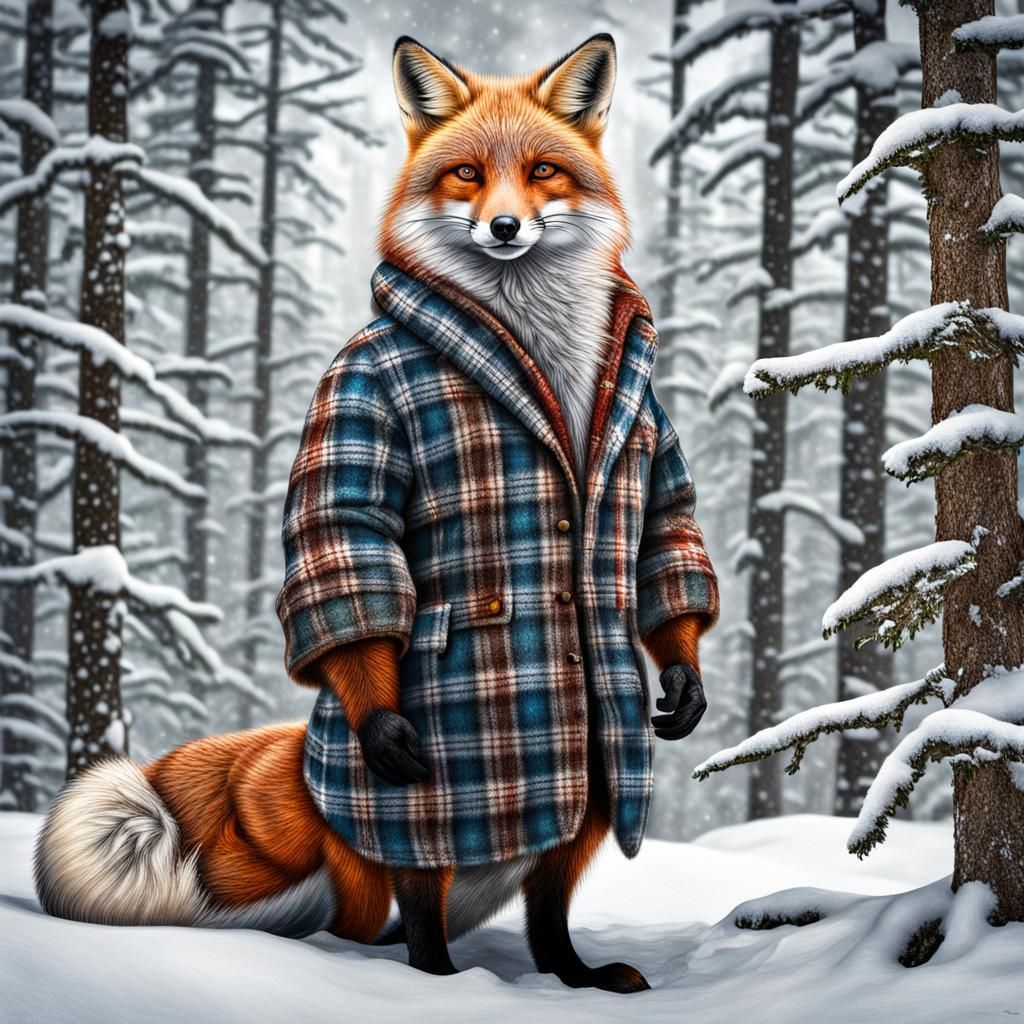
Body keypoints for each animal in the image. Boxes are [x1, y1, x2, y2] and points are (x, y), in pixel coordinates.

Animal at [34, 34, 716, 995]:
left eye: (542, 171)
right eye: (468, 174)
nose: (504, 229)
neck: (532, 347)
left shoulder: (645, 444)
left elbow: (667, 526)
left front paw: (684, 675)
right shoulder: (355, 399)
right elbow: (348, 526)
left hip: (593, 779)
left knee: (541, 880)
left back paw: (562, 971)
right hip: (399, 821)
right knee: (402, 889)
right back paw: (429, 972)